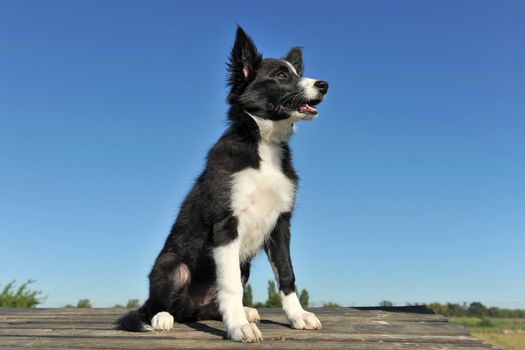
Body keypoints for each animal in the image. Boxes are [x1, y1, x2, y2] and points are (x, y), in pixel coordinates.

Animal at [116, 26, 328, 342]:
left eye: (295, 72)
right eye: (281, 75)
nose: (324, 85)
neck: (263, 144)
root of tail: (189, 308)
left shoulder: (280, 224)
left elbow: (287, 274)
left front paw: (297, 316)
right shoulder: (226, 224)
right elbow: (230, 286)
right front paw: (238, 326)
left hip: (242, 265)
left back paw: (243, 312)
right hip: (172, 266)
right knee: (155, 304)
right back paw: (162, 317)